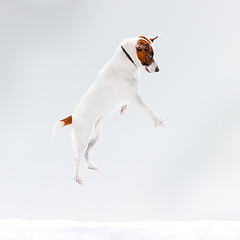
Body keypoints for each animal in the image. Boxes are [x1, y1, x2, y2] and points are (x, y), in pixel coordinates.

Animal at [53, 35, 165, 186]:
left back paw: (91, 165)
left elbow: (126, 103)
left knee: (86, 153)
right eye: (149, 55)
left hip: (95, 137)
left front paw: (123, 108)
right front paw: (157, 120)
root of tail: (73, 116)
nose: (158, 69)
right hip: (82, 140)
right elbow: (148, 109)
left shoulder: (129, 96)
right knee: (77, 158)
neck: (128, 61)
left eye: (153, 54)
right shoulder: (135, 97)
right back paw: (77, 178)